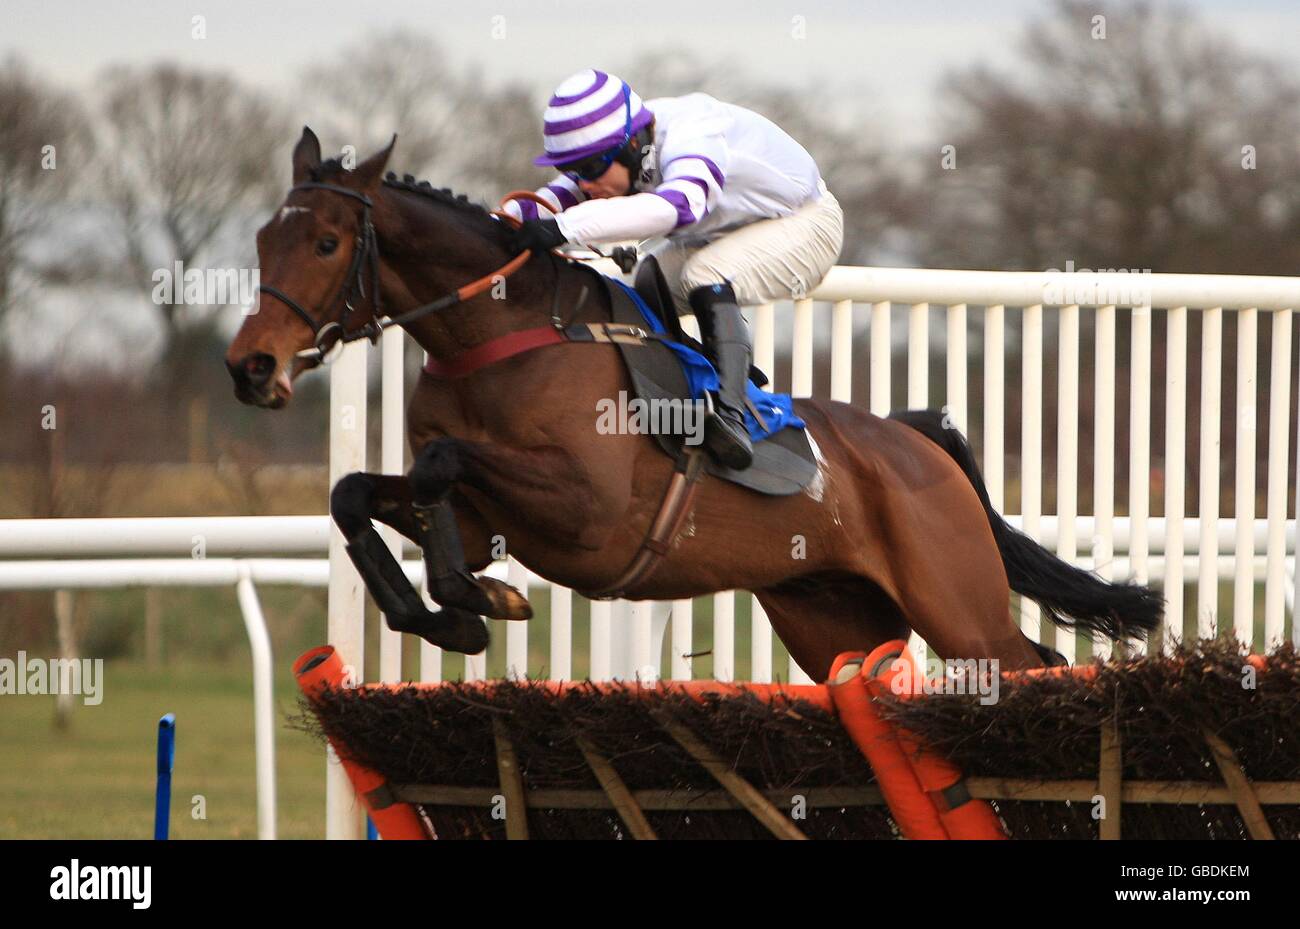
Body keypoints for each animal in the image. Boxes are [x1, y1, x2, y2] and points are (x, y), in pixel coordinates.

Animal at [226, 129, 1170, 680]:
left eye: (326, 241)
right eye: (263, 238)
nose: (250, 366)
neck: (497, 340)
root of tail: (917, 441)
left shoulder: (587, 510)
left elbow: (437, 462)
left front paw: (475, 597)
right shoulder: (493, 509)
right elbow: (358, 491)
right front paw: (443, 611)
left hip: (956, 602)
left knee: (1033, 661)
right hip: (835, 618)